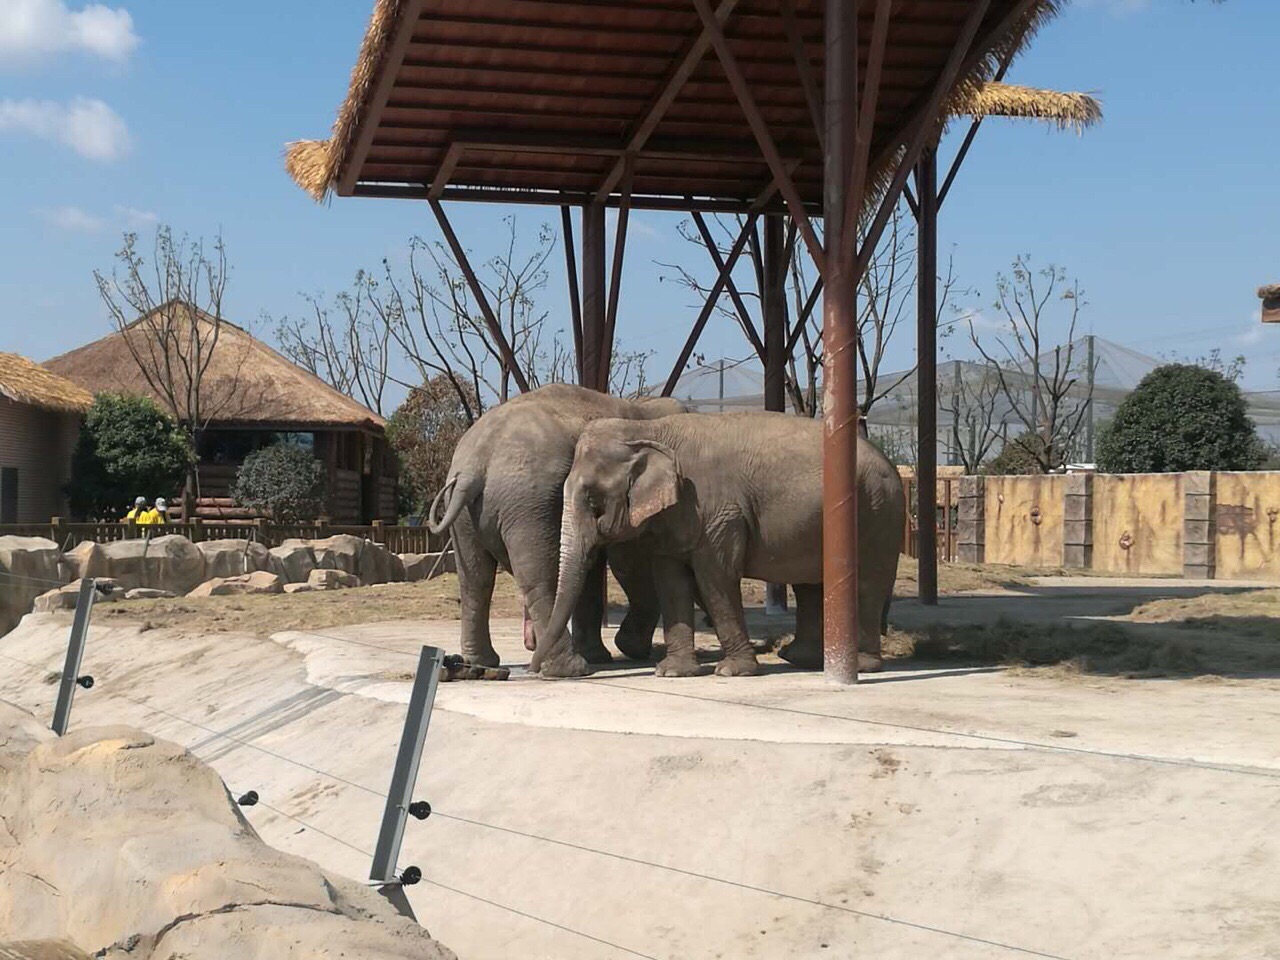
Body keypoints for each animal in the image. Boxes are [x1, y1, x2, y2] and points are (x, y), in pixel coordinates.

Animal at [427, 384, 691, 675]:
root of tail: (472, 467)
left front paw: (605, 654)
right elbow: (629, 560)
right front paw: (628, 650)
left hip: (465, 512)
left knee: (475, 580)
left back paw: (480, 664)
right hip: (527, 504)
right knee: (539, 576)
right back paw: (570, 668)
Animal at [540, 412, 911, 675]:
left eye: (593, 500)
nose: (535, 671)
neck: (649, 428)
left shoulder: (717, 509)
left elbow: (715, 576)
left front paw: (732, 672)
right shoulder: (675, 517)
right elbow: (670, 579)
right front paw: (672, 673)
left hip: (879, 509)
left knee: (868, 581)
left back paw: (861, 665)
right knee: (810, 584)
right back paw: (801, 659)